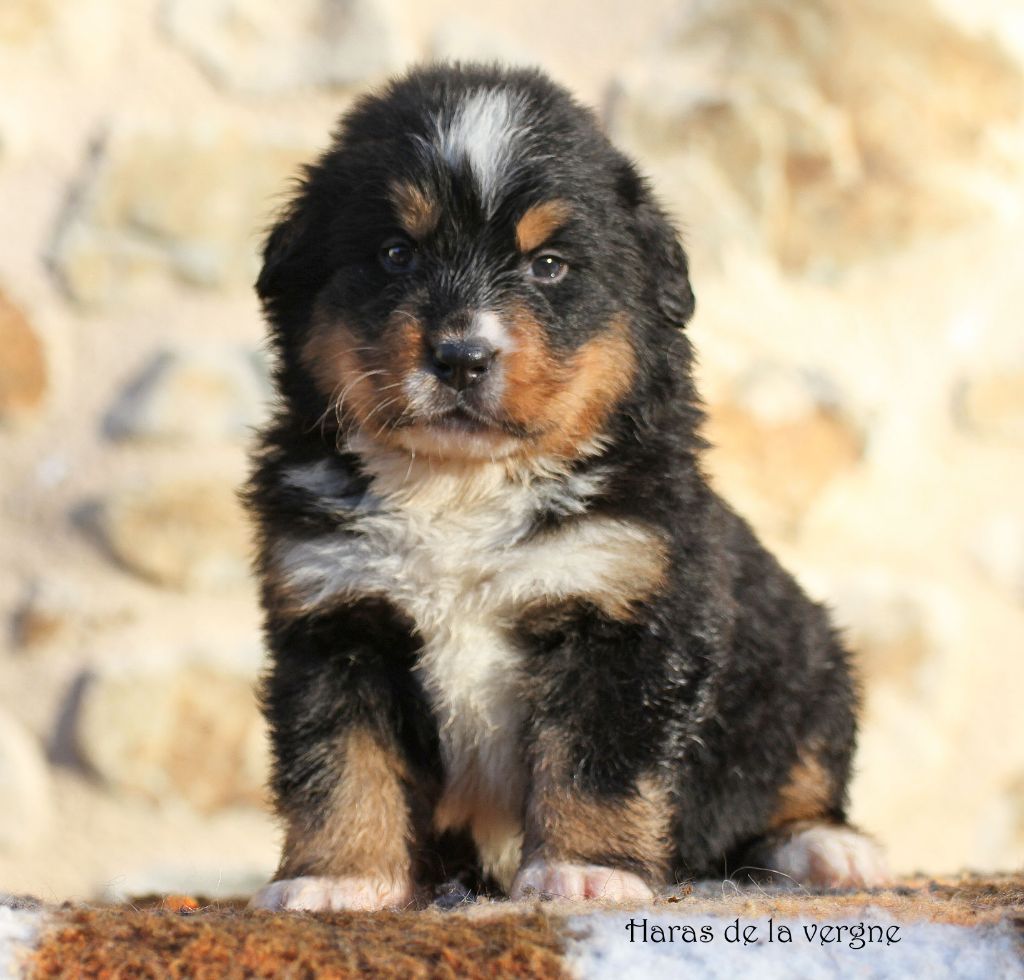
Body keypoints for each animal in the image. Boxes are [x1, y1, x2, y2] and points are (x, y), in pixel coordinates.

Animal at [245, 62, 888, 909]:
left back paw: (828, 850)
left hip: (807, 665)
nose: (462, 357)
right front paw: (336, 879)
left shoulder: (623, 610)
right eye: (395, 253)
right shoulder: (336, 618)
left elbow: (595, 760)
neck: (462, 487)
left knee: (798, 782)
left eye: (547, 264)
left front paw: (583, 874)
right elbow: (342, 765)